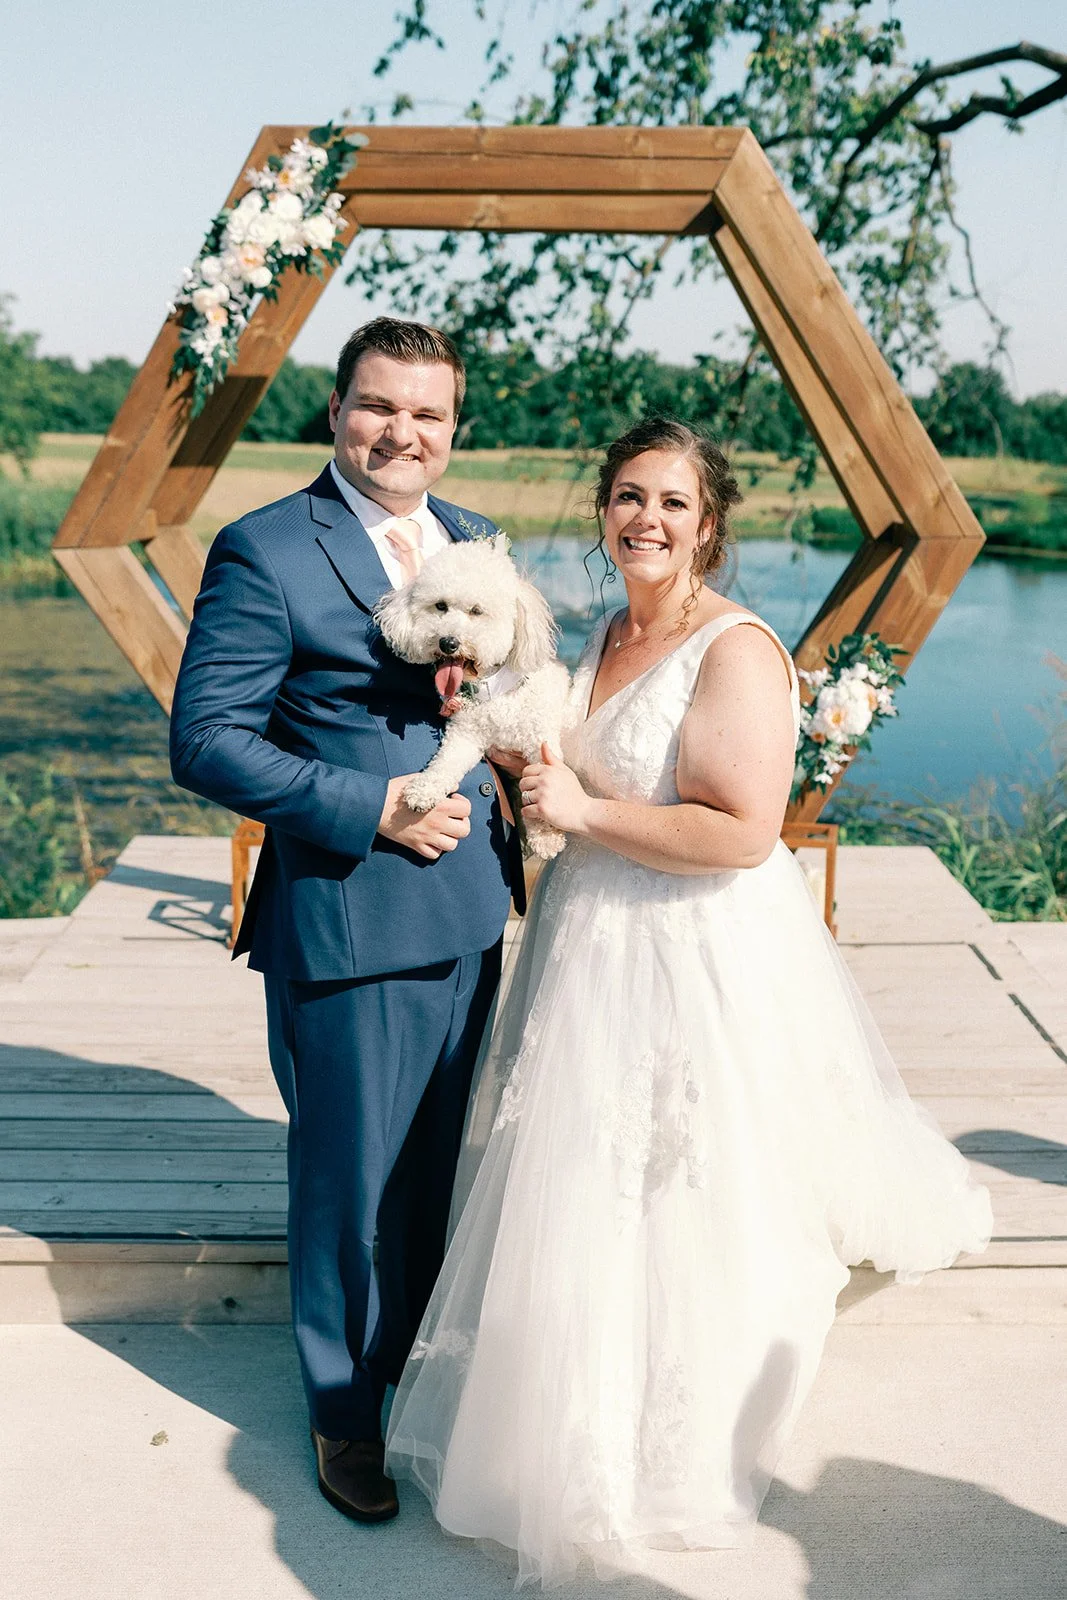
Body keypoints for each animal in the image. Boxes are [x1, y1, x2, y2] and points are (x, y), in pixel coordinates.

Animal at [374, 536, 571, 860]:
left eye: (477, 611)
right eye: (440, 606)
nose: (448, 642)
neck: (497, 691)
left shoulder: (540, 743)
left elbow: (543, 788)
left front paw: (546, 835)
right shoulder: (465, 735)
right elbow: (445, 762)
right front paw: (424, 789)